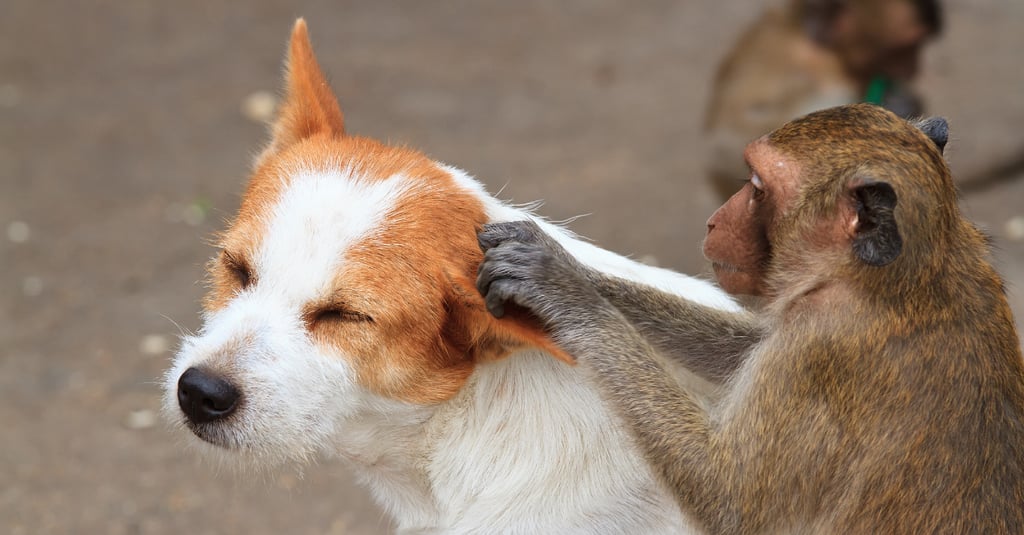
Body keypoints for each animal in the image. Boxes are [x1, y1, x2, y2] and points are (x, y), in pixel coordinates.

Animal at [476, 104, 1024, 533]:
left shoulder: (818, 351)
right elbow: (741, 351)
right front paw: (579, 272)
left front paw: (564, 291)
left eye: (757, 187)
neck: (912, 272)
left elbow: (726, 500)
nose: (715, 220)